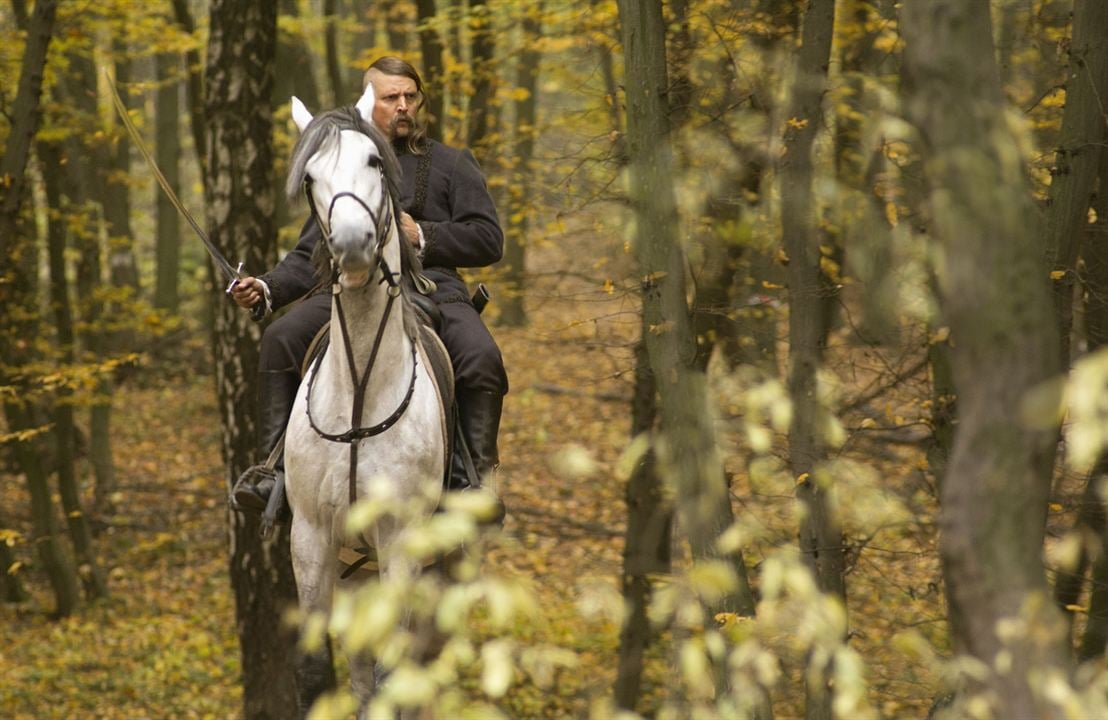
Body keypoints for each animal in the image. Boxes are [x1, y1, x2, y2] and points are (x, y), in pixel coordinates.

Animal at [281, 82, 445, 713]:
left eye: (374, 162)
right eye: (310, 177)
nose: (352, 245)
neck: (357, 397)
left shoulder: (401, 541)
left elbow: (396, 676)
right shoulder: (310, 538)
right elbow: (316, 673)